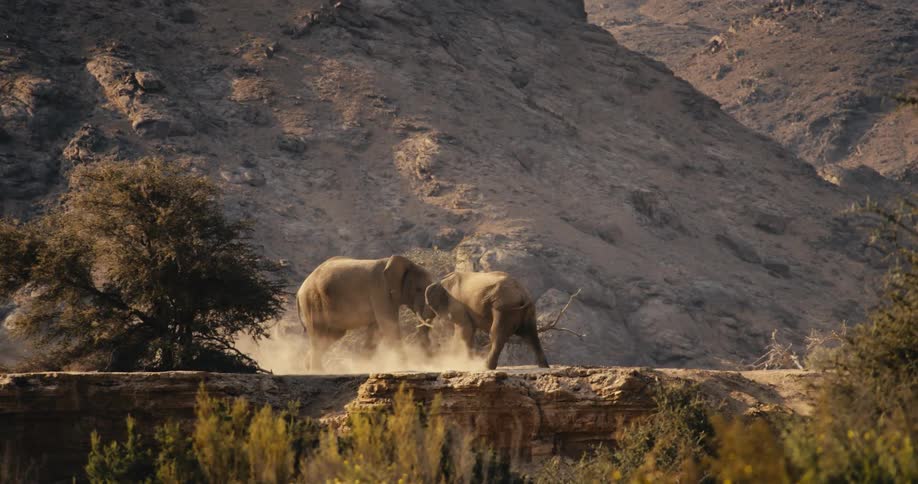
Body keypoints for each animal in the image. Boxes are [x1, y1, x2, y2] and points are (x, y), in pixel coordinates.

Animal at [295, 255, 435, 371]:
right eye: (418, 289)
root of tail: (300, 290)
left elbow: (376, 330)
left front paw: (364, 367)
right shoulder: (380, 290)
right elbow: (389, 325)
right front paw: (404, 368)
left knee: (332, 335)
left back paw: (307, 366)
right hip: (312, 299)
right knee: (318, 333)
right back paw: (317, 371)